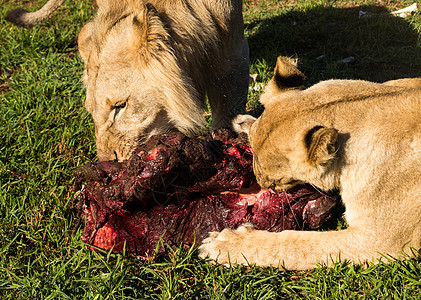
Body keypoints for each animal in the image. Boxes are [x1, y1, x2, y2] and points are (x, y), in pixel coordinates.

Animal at [199, 55, 420, 270]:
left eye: (275, 182)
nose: (259, 183)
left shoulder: (380, 240)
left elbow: (298, 244)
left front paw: (223, 243)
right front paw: (243, 123)